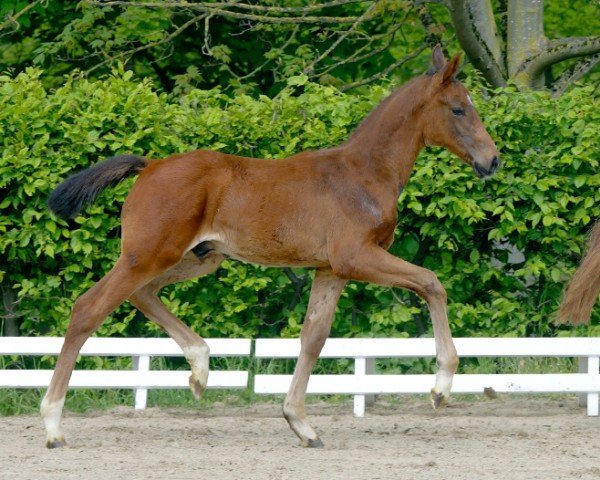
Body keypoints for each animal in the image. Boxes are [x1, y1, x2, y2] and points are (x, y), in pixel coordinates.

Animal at [43, 47, 502, 448]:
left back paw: (200, 369)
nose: (492, 160)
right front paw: (441, 387)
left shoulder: (330, 270)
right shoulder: (357, 257)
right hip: (149, 255)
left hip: (198, 258)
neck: (362, 175)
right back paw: (53, 426)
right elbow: (431, 282)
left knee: (142, 294)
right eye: (458, 109)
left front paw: (301, 425)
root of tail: (150, 166)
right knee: (88, 309)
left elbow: (314, 337)